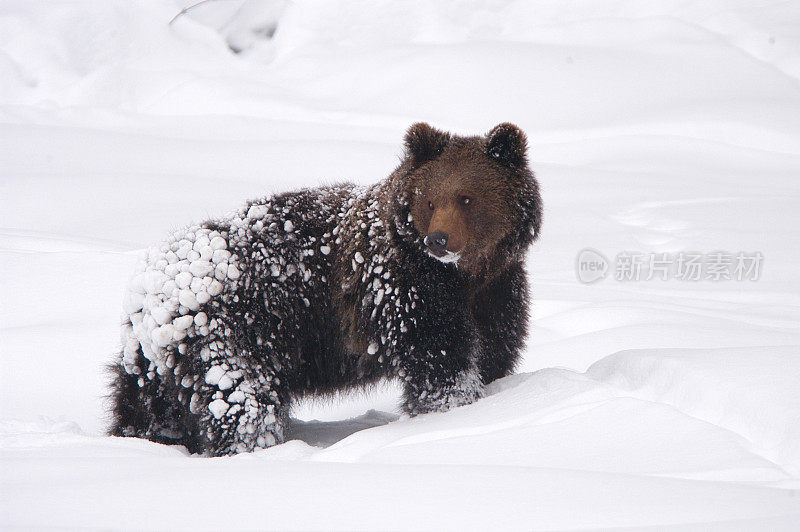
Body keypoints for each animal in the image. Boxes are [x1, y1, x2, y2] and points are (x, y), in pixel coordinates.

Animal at [108, 122, 544, 456]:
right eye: (430, 200)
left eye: (467, 198)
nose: (438, 240)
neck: (464, 276)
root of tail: (149, 294)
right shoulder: (402, 290)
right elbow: (440, 359)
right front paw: (449, 408)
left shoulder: (497, 292)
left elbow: (493, 351)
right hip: (235, 331)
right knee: (241, 399)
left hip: (154, 365)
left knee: (141, 405)